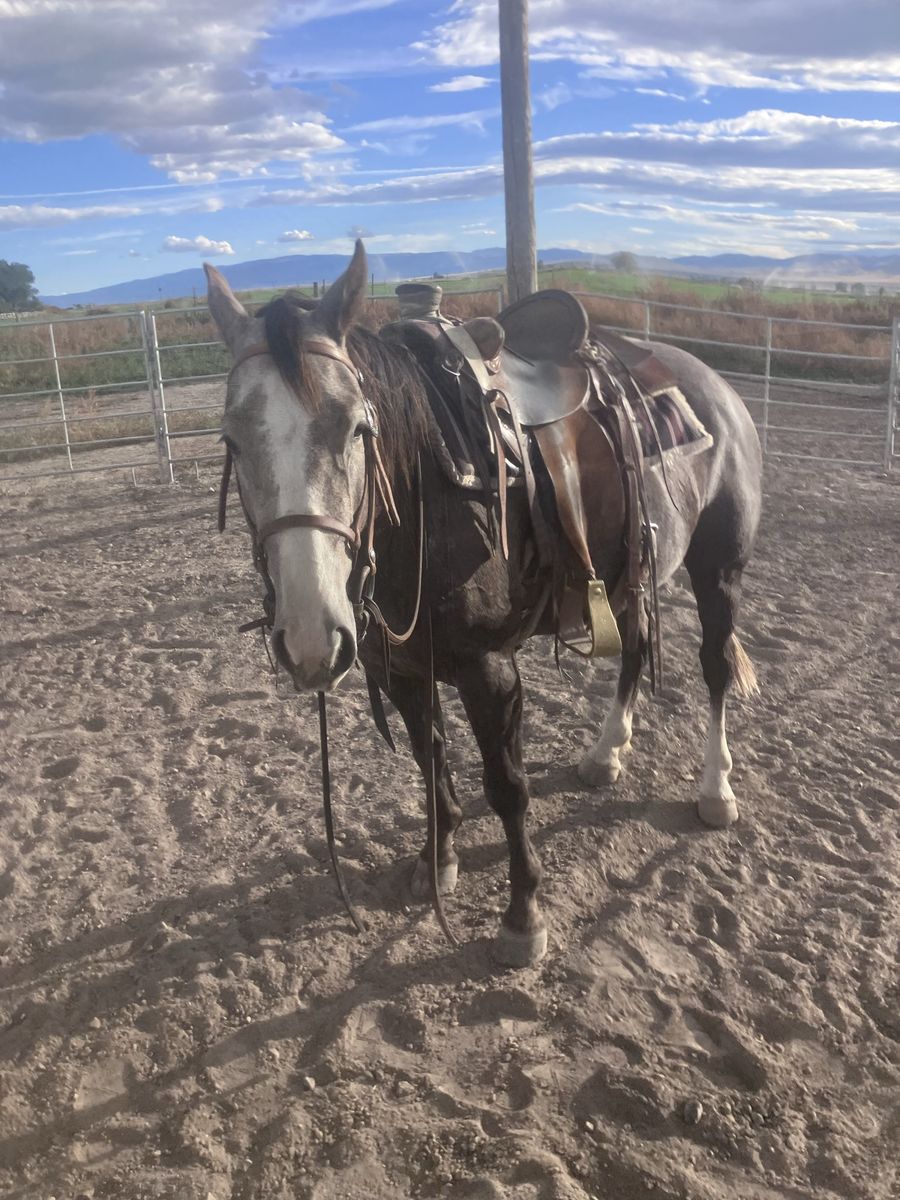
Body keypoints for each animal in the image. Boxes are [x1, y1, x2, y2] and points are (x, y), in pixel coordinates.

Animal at [205, 241, 762, 967]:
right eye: (232, 440)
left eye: (357, 429)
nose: (309, 638)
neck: (431, 490)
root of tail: (711, 383)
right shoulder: (399, 668)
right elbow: (430, 759)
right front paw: (437, 860)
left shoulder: (488, 669)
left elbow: (506, 787)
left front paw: (523, 917)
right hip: (630, 576)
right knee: (636, 648)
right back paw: (606, 753)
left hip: (718, 568)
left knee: (715, 665)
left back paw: (715, 788)